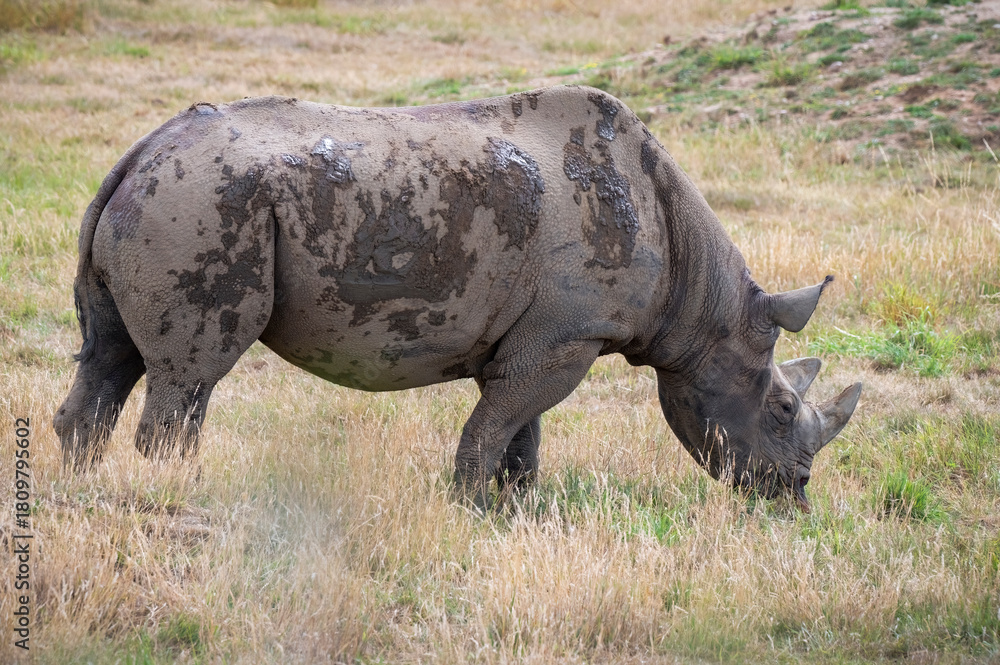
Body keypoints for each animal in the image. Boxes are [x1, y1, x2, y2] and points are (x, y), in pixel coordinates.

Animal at [54, 85, 861, 511]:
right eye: (780, 409)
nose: (796, 494)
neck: (700, 302)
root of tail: (140, 152)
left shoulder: (542, 334)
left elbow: (523, 431)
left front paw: (520, 511)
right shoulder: (570, 336)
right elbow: (495, 425)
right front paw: (469, 508)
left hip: (160, 200)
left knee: (108, 356)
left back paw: (84, 492)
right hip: (201, 202)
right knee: (191, 375)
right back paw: (176, 495)